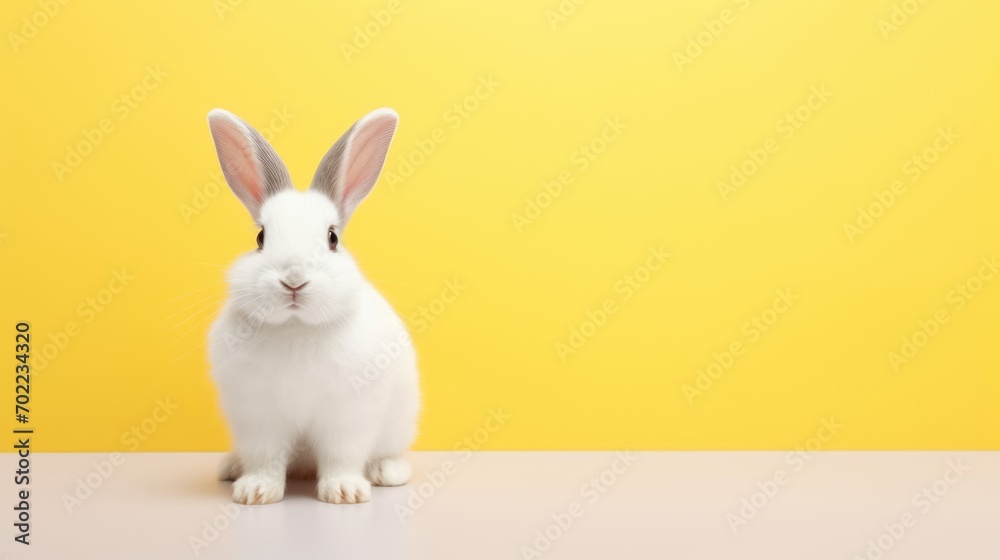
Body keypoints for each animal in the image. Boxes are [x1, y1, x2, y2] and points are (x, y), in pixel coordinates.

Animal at [205, 107, 420, 505]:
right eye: (260, 238)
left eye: (332, 238)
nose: (293, 278)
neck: (296, 327)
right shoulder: (258, 417)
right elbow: (266, 458)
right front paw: (255, 491)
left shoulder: (347, 415)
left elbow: (341, 456)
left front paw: (345, 492)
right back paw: (231, 469)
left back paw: (388, 472)